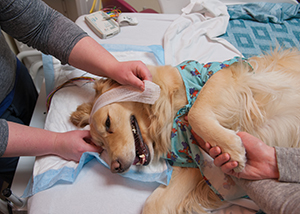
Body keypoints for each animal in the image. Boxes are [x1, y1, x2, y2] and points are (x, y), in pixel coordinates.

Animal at [71, 49, 300, 214]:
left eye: (108, 123)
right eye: (100, 146)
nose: (115, 168)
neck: (169, 116)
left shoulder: (222, 73)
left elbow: (196, 112)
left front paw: (232, 148)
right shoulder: (193, 162)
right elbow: (153, 205)